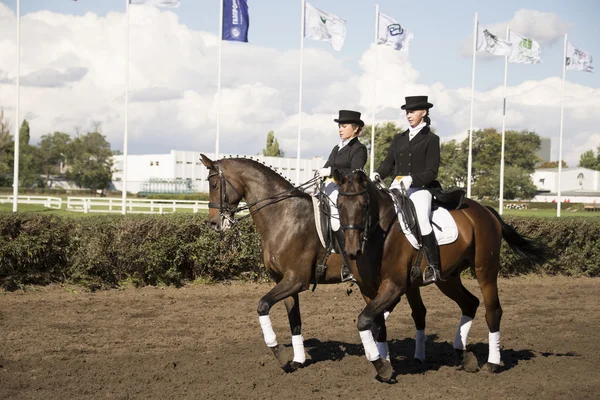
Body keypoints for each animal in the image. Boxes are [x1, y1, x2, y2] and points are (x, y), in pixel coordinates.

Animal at [336, 170, 552, 382]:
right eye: (338, 204)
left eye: (364, 205)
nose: (351, 250)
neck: (380, 235)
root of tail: (485, 210)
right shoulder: (368, 289)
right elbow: (376, 323)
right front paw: (385, 364)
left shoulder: (393, 286)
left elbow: (364, 319)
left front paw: (381, 367)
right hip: (448, 278)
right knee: (469, 303)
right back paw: (464, 356)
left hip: (485, 270)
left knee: (493, 310)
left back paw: (491, 363)